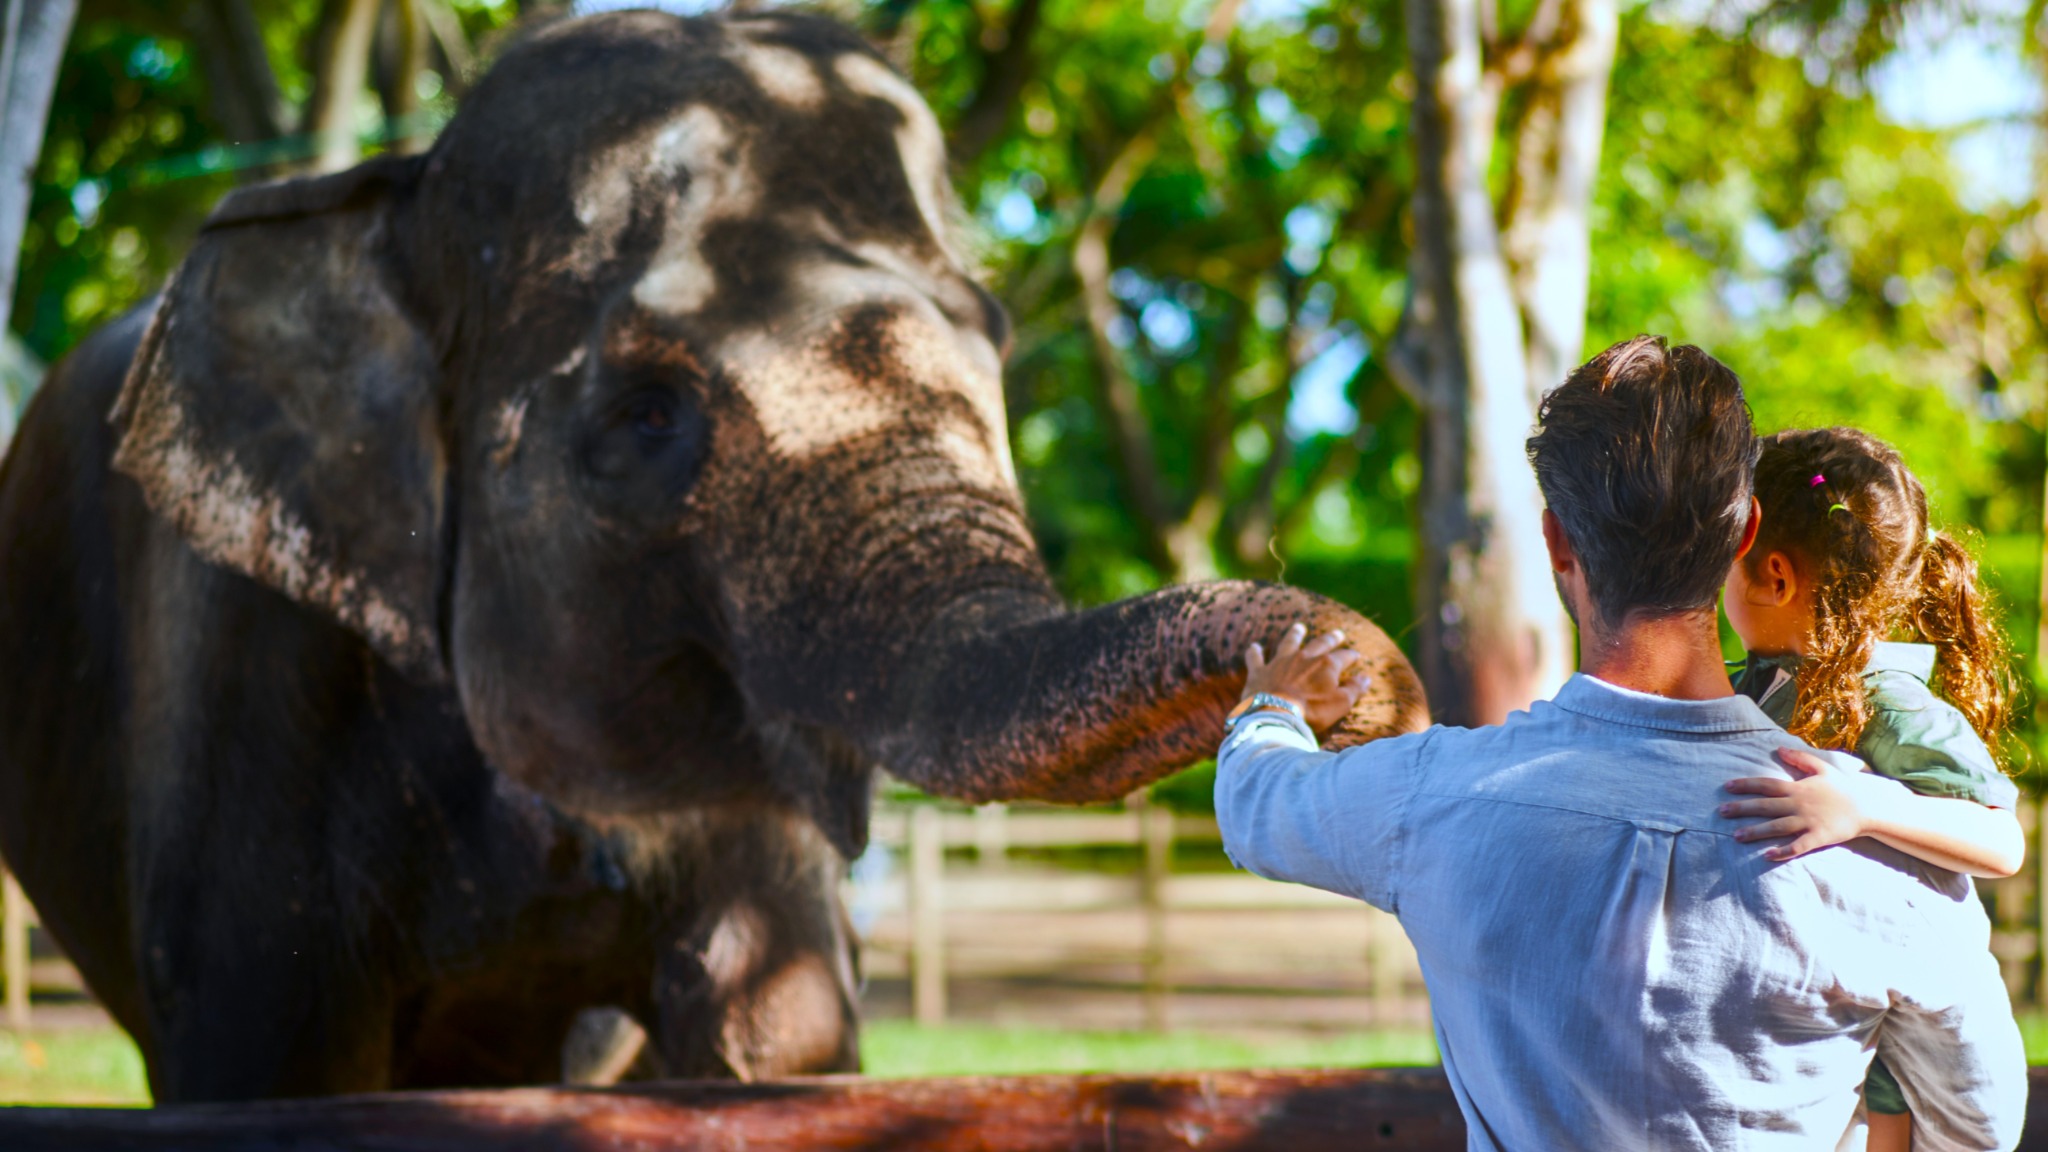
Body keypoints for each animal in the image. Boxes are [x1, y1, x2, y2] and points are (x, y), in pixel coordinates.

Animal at [0, 8, 1425, 1102]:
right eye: (644, 415)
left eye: (991, 335)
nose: (1349, 680)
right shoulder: (243, 674)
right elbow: (267, 1066)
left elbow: (772, 1051)